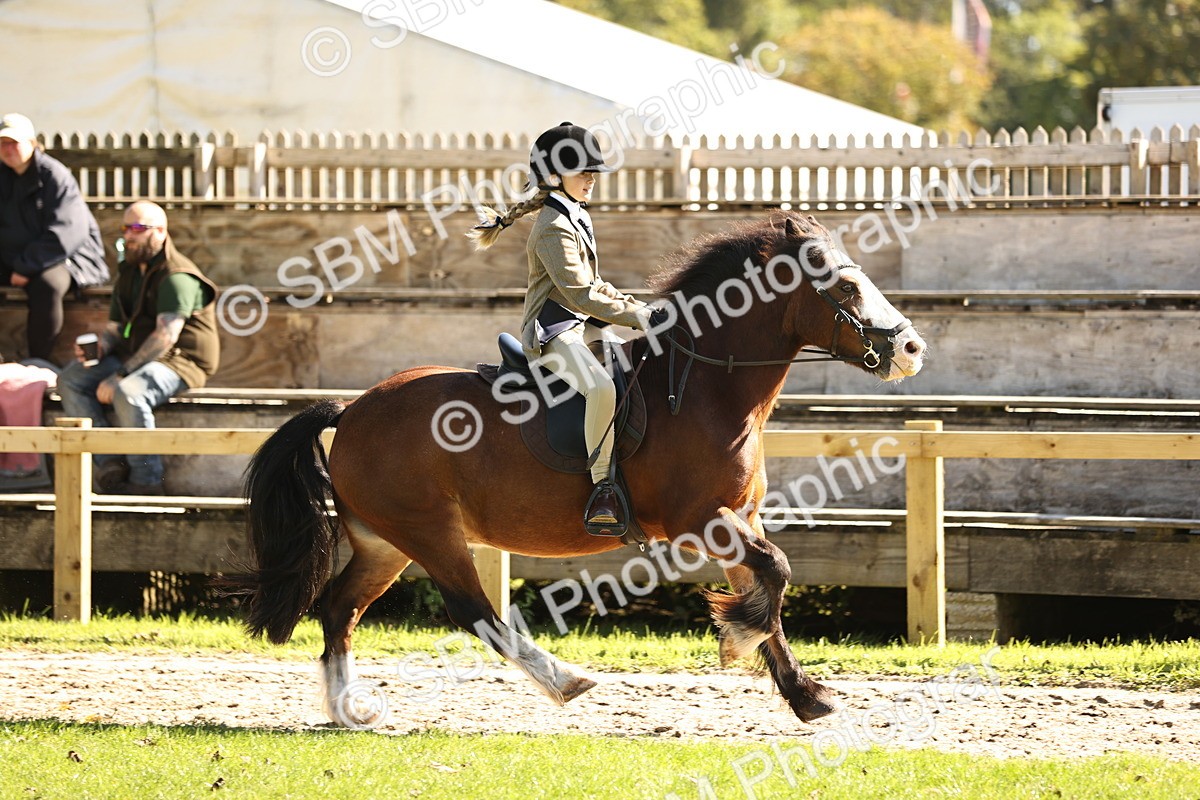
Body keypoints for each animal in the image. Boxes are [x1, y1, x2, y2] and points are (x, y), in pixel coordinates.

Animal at [229, 212, 926, 728]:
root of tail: (350, 411)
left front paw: (800, 690)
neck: (705, 387)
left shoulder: (738, 518)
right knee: (475, 612)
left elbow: (769, 584)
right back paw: (566, 681)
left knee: (339, 609)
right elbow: (776, 574)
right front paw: (741, 639)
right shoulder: (698, 521)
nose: (911, 348)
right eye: (842, 287)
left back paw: (349, 710)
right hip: (429, 534)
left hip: (384, 541)